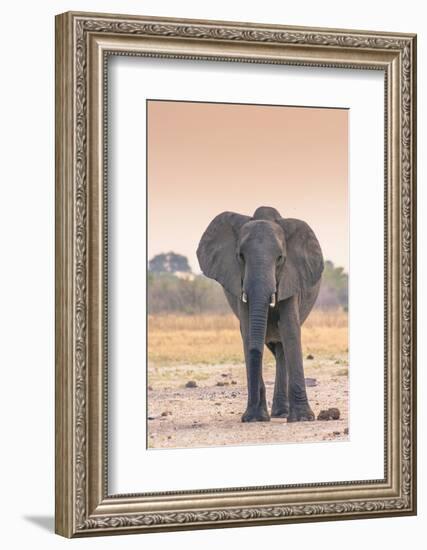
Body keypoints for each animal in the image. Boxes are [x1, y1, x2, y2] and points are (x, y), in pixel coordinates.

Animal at [197, 208, 324, 426]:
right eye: (240, 256)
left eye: (280, 258)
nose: (247, 418)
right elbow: (248, 331)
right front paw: (255, 417)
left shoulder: (291, 277)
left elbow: (290, 328)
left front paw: (303, 419)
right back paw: (277, 413)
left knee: (283, 347)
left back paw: (281, 414)